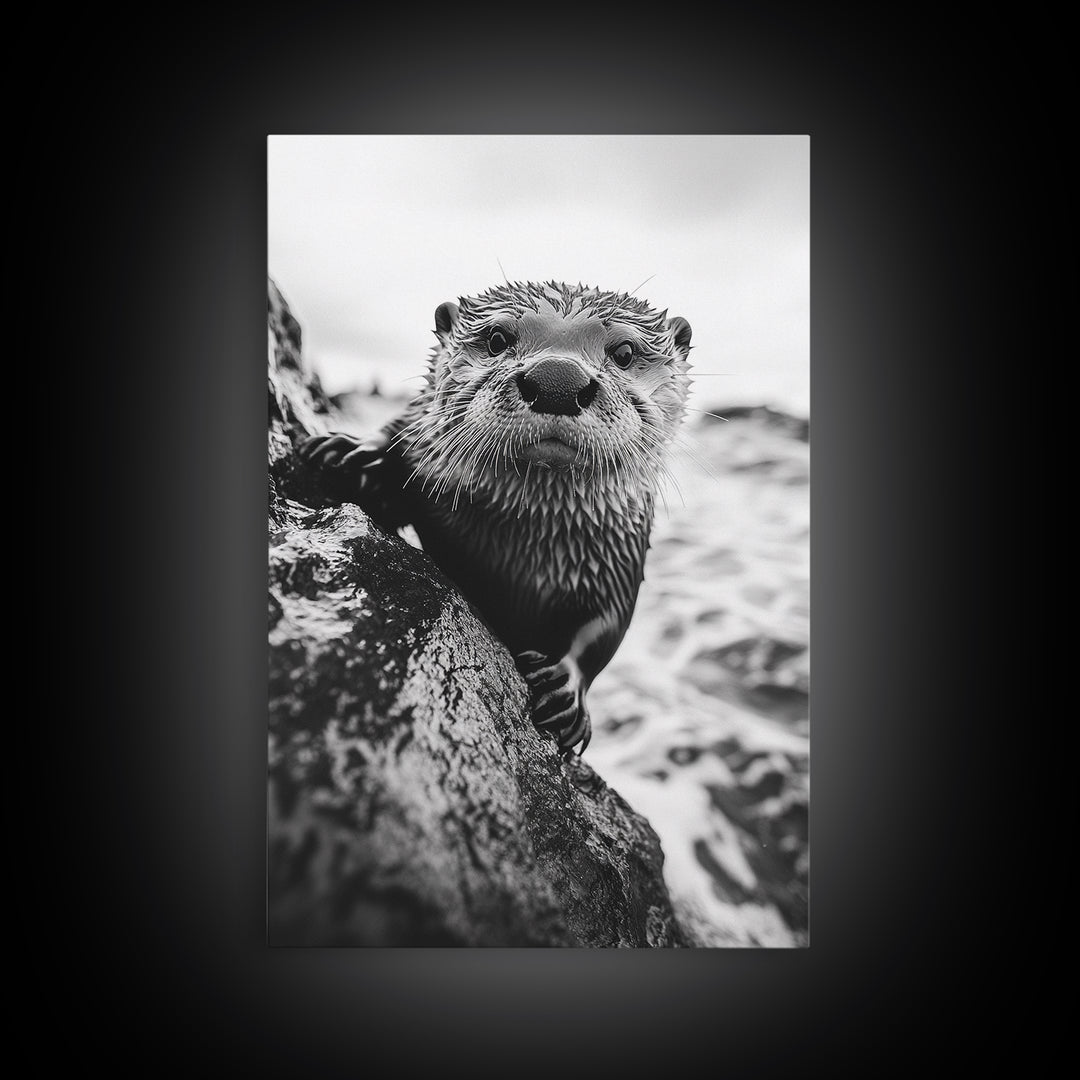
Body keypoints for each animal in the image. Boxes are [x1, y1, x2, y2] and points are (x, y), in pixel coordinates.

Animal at [300, 280, 692, 757]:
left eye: (623, 351)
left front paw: (564, 688)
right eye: (497, 338)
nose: (557, 380)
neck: (519, 544)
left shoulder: (619, 553)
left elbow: (604, 627)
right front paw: (354, 453)